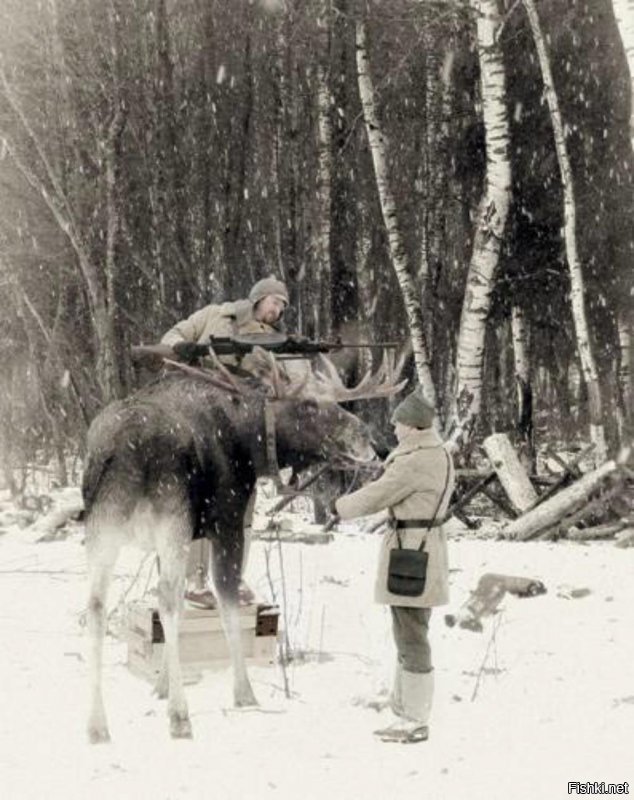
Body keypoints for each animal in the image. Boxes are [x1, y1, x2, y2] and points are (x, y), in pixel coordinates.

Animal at [84, 352, 402, 744]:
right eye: (308, 404)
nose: (372, 441)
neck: (249, 443)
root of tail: (122, 449)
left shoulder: (191, 535)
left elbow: (188, 605)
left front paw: (160, 686)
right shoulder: (227, 520)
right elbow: (226, 600)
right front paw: (243, 692)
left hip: (103, 527)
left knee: (97, 606)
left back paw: (97, 724)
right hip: (169, 519)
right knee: (166, 599)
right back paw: (179, 716)